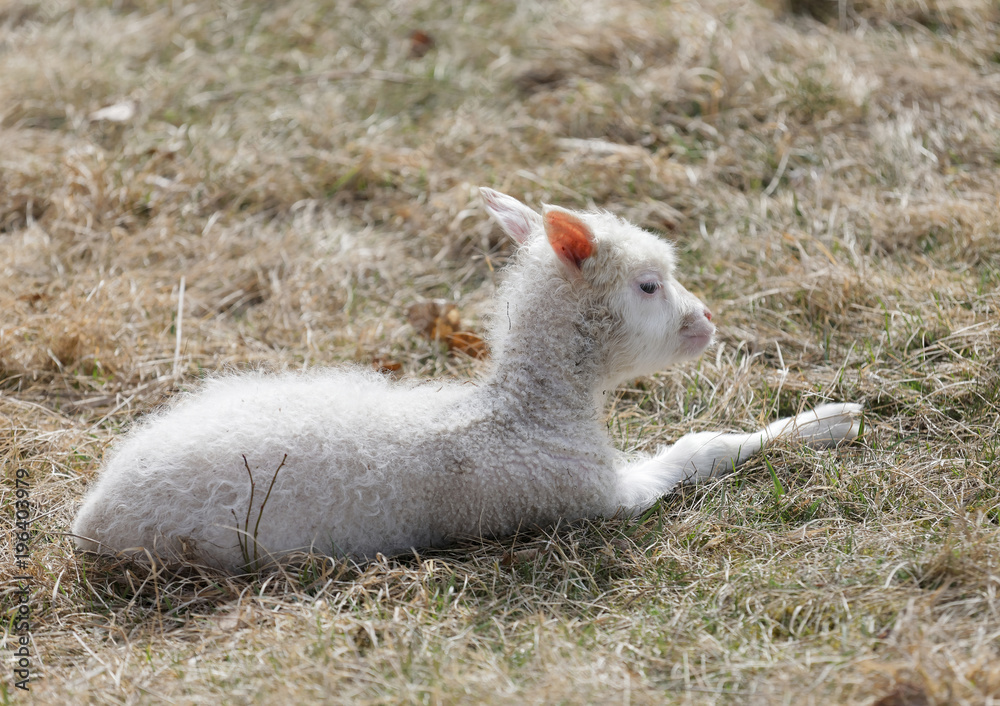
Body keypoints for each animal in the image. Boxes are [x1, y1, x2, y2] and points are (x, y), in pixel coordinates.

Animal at [72, 188, 862, 572]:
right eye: (648, 286)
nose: (706, 320)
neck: (523, 415)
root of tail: (93, 515)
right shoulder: (590, 496)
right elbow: (698, 450)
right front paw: (827, 421)